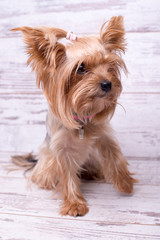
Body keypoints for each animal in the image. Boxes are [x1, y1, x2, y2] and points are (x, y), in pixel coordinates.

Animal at [11, 15, 137, 217]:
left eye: (109, 65)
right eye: (81, 68)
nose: (107, 84)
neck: (82, 119)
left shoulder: (103, 135)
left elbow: (114, 154)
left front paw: (124, 183)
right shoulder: (61, 150)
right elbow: (67, 174)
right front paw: (75, 204)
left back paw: (91, 173)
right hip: (46, 161)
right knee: (45, 175)